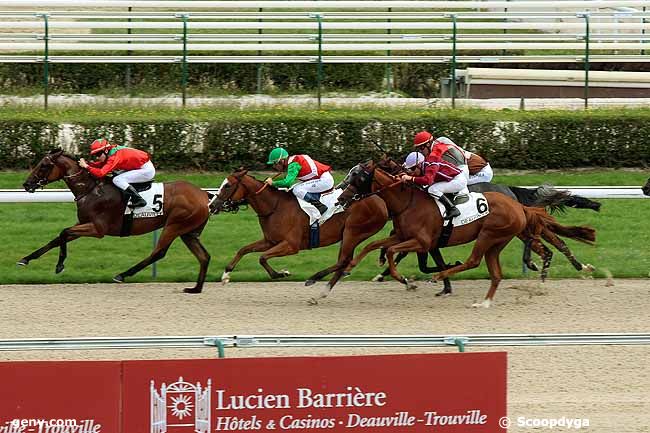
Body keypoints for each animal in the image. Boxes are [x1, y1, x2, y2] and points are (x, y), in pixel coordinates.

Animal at [19, 148, 210, 294]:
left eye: (44, 165)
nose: (26, 184)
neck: (91, 190)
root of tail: (204, 194)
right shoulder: (83, 224)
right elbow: (58, 238)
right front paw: (26, 259)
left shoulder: (98, 229)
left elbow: (64, 232)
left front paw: (59, 265)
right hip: (188, 232)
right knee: (204, 256)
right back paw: (195, 289)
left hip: (174, 225)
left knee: (158, 253)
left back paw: (122, 275)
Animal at [210, 169, 388, 300]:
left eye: (228, 185)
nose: (211, 205)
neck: (275, 206)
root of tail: (380, 201)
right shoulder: (270, 241)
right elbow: (244, 249)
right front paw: (225, 275)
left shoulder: (291, 245)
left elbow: (262, 258)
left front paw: (282, 273)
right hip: (348, 237)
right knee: (344, 262)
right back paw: (321, 293)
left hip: (353, 232)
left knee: (343, 261)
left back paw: (314, 280)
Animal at [334, 160, 592, 306]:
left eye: (358, 177)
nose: (340, 197)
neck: (408, 202)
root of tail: (512, 197)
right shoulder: (405, 236)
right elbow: (375, 245)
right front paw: (350, 266)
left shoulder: (422, 241)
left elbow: (393, 253)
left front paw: (407, 281)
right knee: (543, 243)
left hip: (491, 234)